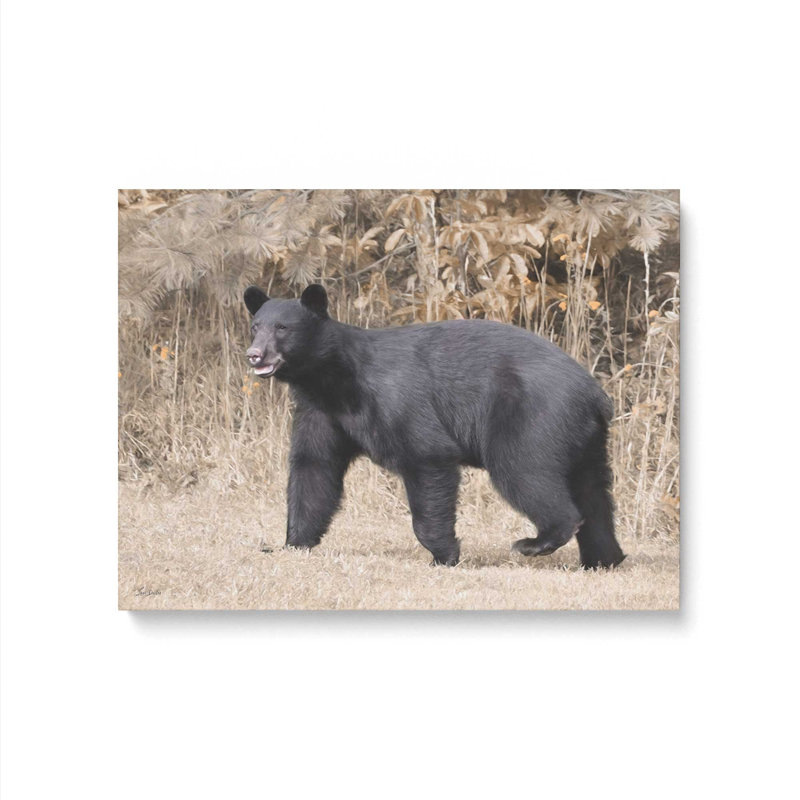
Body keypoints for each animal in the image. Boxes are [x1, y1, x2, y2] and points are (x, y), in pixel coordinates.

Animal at [244, 283, 625, 569]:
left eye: (283, 328)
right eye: (256, 326)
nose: (254, 354)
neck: (332, 380)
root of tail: (596, 394)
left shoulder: (395, 400)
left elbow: (427, 456)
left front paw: (444, 554)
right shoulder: (322, 413)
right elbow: (313, 468)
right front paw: (292, 543)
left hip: (534, 417)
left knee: (523, 472)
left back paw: (535, 542)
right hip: (585, 438)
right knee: (593, 493)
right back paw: (604, 559)